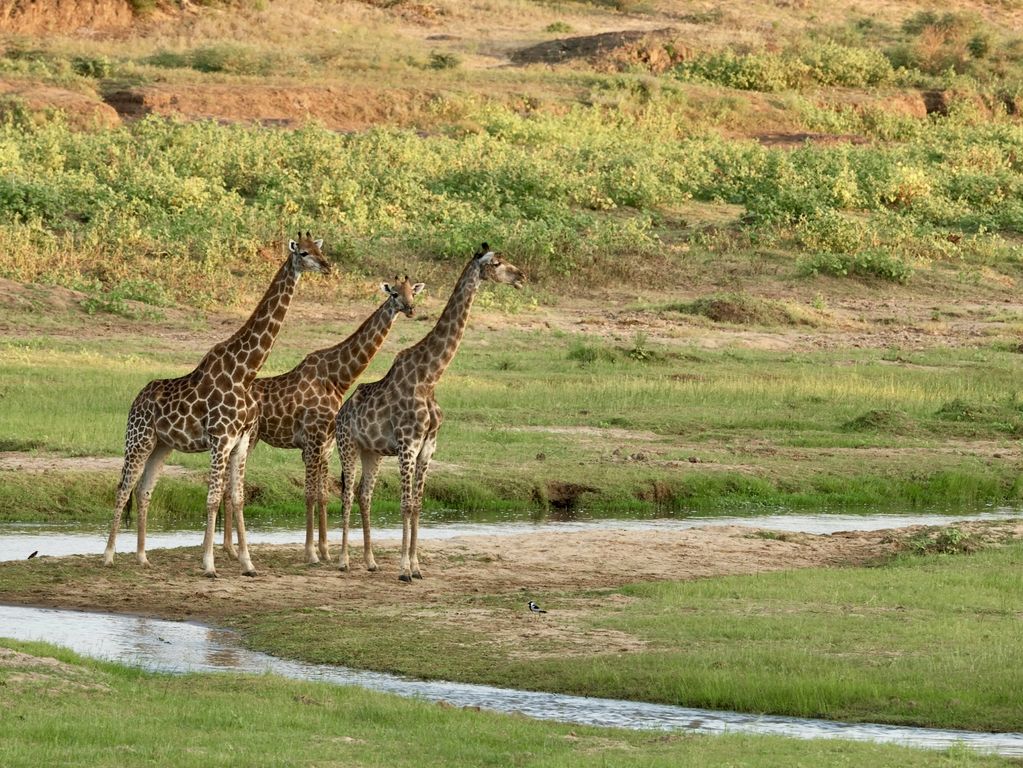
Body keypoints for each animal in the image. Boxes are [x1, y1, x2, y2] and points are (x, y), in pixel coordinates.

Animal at [102, 234, 331, 576]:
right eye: (303, 253)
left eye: (319, 250)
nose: (327, 266)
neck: (245, 372)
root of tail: (136, 399)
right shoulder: (220, 439)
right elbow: (211, 499)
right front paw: (209, 564)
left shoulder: (241, 441)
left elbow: (236, 498)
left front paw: (248, 563)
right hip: (137, 440)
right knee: (123, 488)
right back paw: (108, 556)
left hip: (161, 445)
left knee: (143, 490)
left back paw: (143, 557)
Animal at [225, 276, 427, 564]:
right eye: (394, 294)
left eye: (413, 292)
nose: (410, 308)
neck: (338, 378)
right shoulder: (312, 440)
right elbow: (310, 494)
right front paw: (311, 552)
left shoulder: (327, 443)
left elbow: (322, 495)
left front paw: (326, 551)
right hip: (248, 438)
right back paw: (230, 550)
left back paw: (230, 549)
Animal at [337, 243, 527, 580]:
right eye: (497, 262)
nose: (522, 277)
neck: (430, 377)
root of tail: (340, 413)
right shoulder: (407, 446)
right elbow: (405, 504)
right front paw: (404, 569)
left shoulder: (428, 447)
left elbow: (418, 504)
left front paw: (417, 566)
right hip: (347, 445)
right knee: (347, 494)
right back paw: (344, 561)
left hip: (371, 452)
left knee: (364, 494)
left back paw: (370, 561)